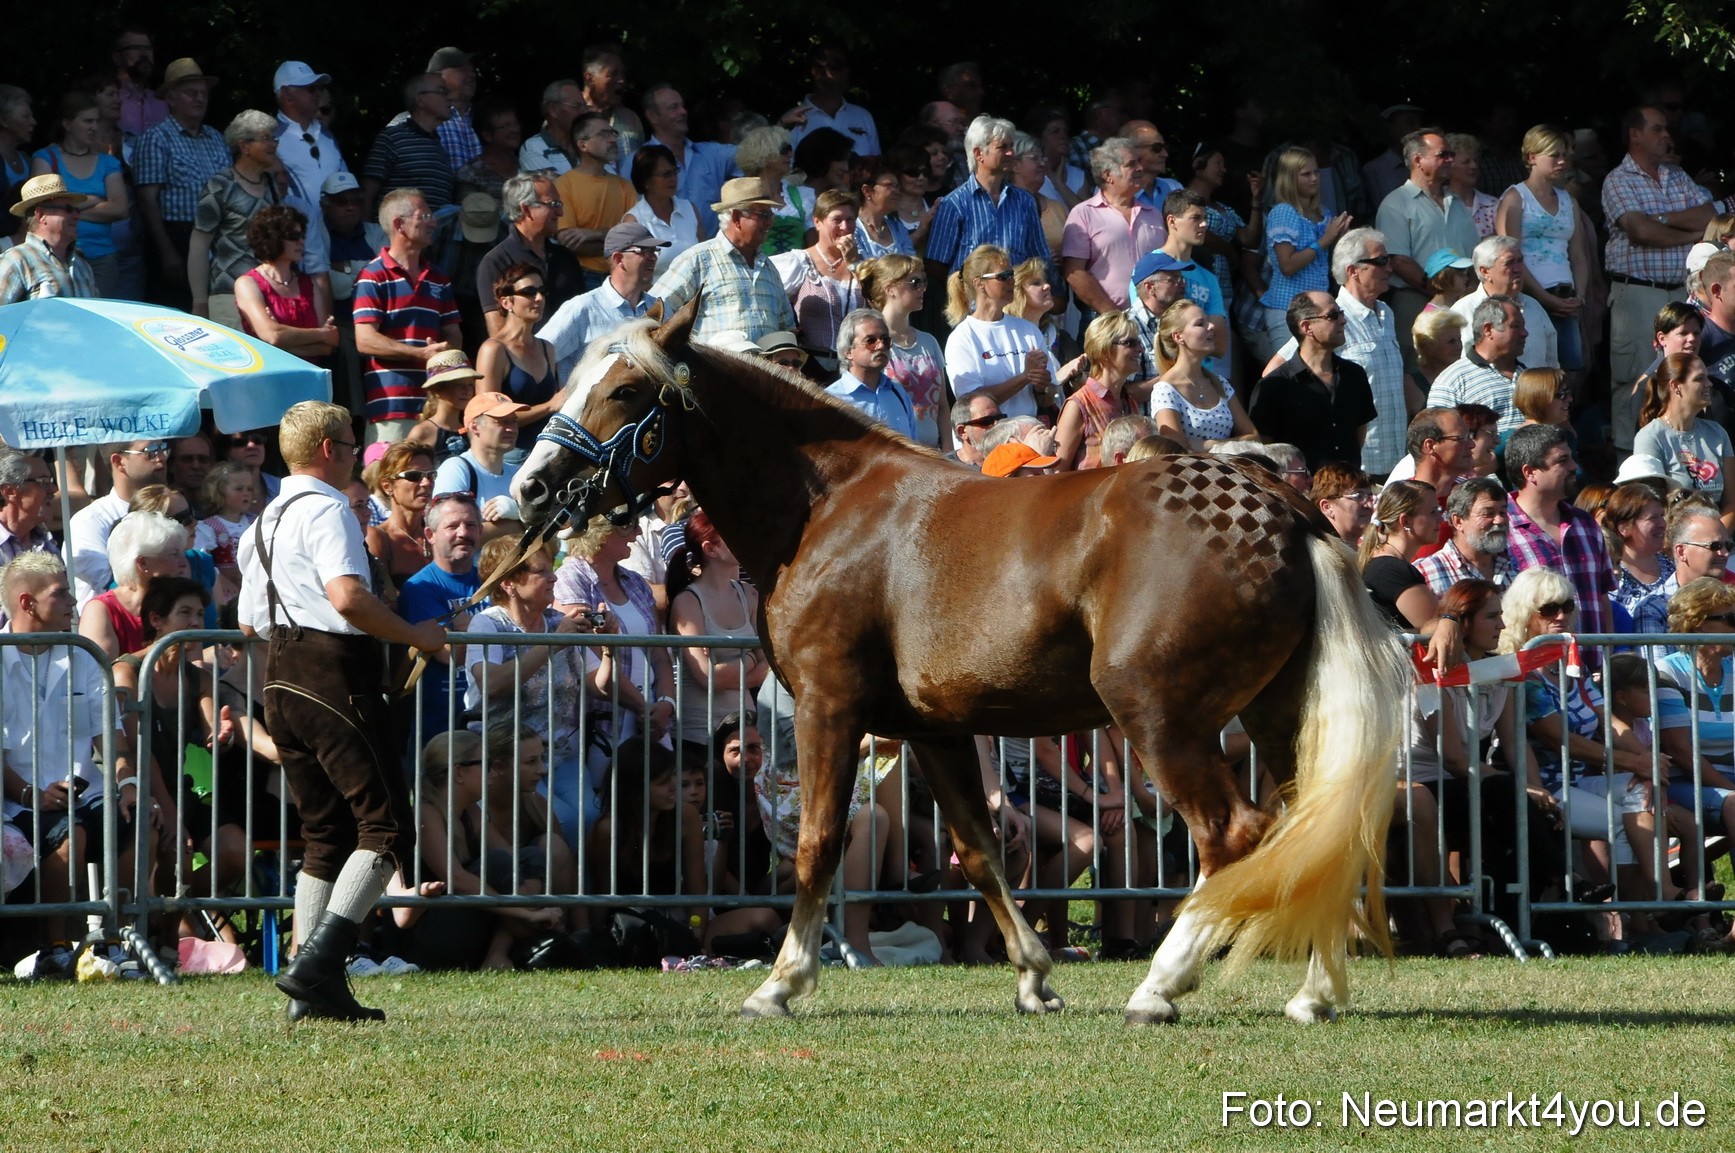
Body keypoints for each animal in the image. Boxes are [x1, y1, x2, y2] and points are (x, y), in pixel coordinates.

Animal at [512, 301, 1410, 1024]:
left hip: (1160, 716)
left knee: (1237, 832)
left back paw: (1161, 984)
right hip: (1272, 713)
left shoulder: (830, 705)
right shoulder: (933, 730)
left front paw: (780, 983)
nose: (529, 488)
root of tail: (1283, 512)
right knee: (1314, 825)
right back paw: (1311, 993)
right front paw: (1034, 976)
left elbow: (817, 841)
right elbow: (977, 849)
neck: (825, 507)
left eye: (625, 391)